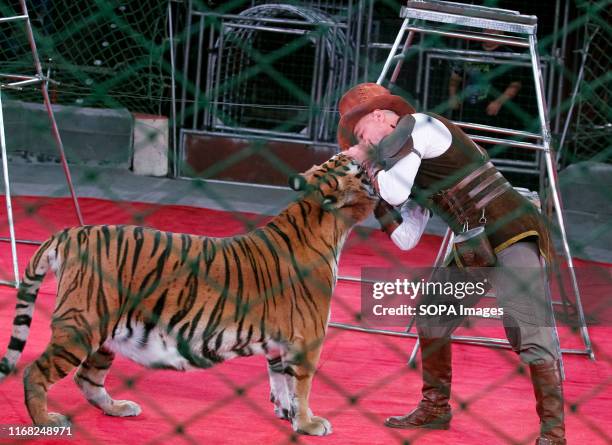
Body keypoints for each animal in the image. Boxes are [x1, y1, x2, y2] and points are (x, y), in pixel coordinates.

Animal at [0, 153, 376, 434]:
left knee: (87, 379)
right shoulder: (307, 340)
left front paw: (286, 414)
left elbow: (281, 381)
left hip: (104, 334)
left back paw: (119, 408)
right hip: (81, 327)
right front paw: (309, 423)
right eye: (349, 166)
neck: (325, 222)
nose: (358, 152)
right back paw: (46, 421)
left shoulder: (280, 343)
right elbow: (302, 384)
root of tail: (69, 233)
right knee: (36, 372)